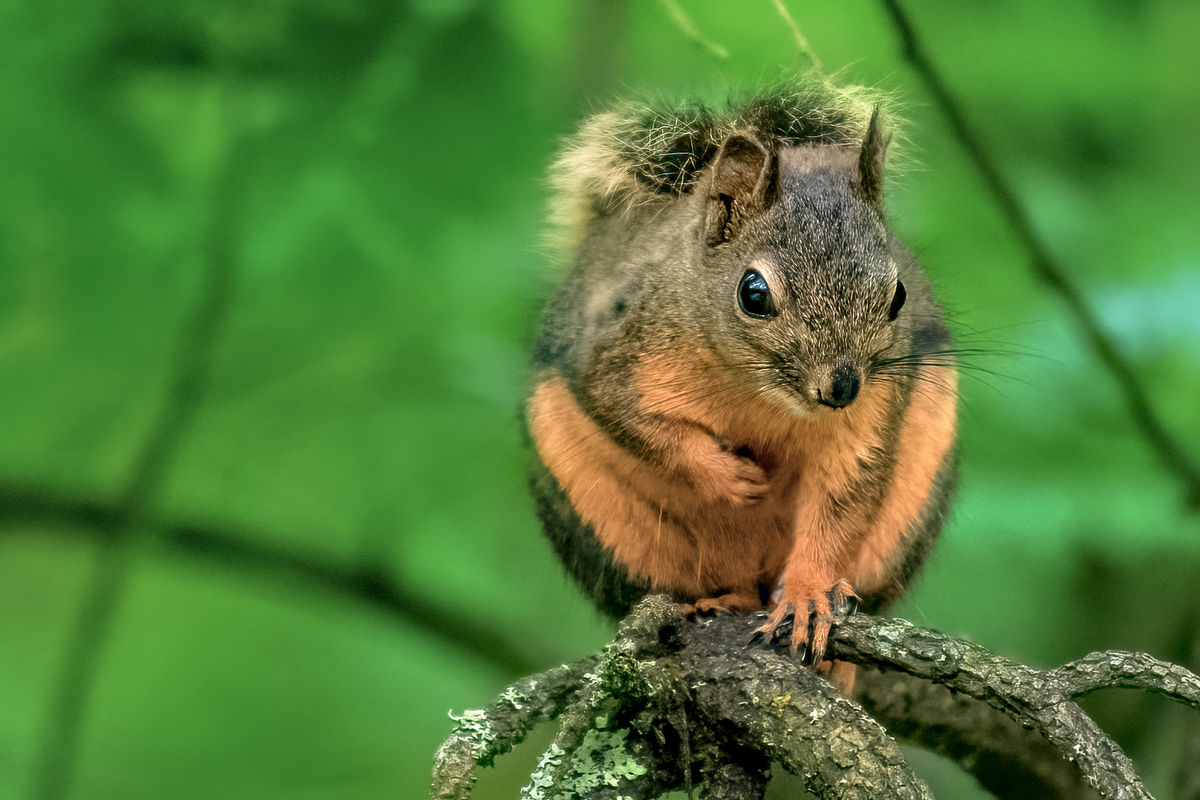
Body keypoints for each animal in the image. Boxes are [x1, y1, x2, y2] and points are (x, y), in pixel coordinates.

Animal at [525, 79, 955, 671]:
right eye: (753, 293)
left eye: (899, 295)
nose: (841, 388)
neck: (758, 393)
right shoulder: (613, 353)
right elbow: (634, 422)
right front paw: (729, 478)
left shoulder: (870, 414)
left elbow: (842, 498)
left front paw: (810, 593)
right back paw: (716, 599)